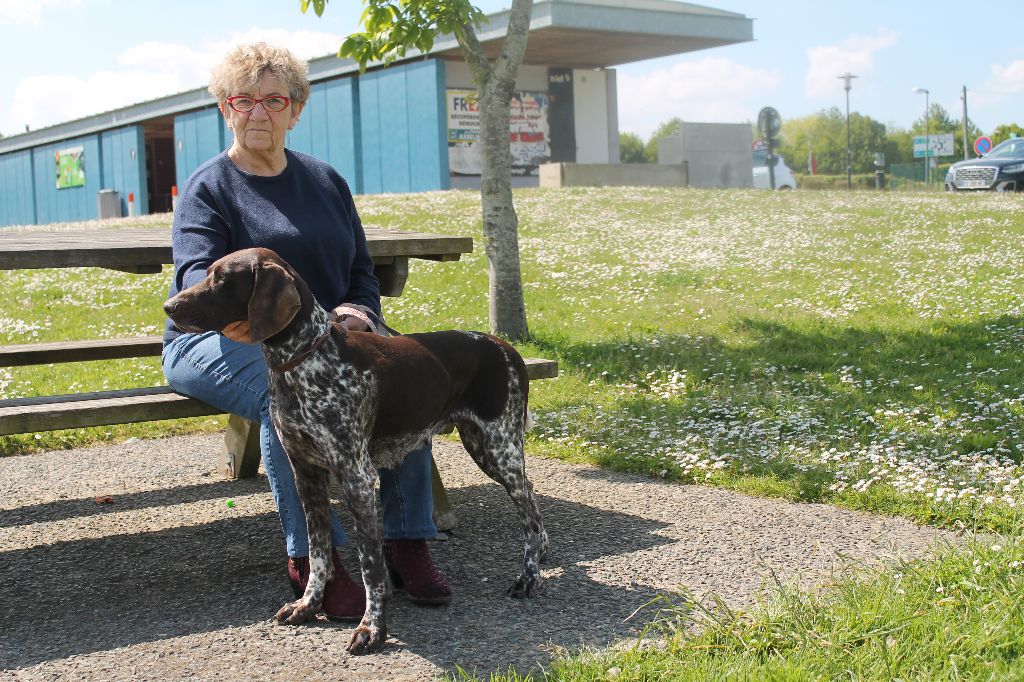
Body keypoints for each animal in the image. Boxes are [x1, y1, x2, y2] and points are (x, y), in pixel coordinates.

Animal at [161, 246, 544, 651]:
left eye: (222, 279)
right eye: (208, 273)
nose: (169, 306)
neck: (303, 361)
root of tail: (507, 349)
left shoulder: (356, 478)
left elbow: (370, 564)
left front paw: (372, 628)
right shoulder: (305, 474)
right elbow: (318, 551)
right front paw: (309, 605)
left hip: (498, 448)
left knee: (530, 510)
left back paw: (530, 576)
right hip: (483, 445)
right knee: (531, 497)